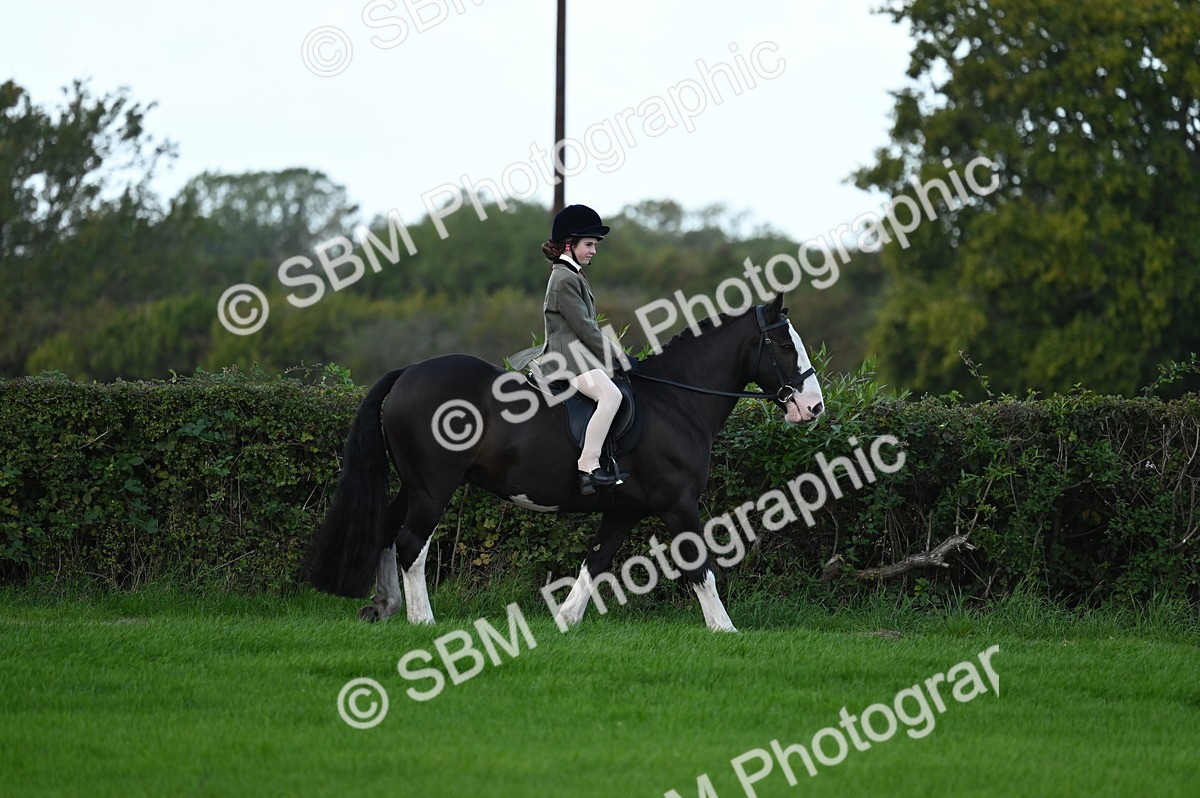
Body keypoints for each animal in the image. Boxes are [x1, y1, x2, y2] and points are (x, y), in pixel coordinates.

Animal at [300, 294, 825, 631]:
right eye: (783, 345)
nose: (813, 407)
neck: (677, 400)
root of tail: (408, 372)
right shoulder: (678, 503)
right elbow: (701, 565)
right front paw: (724, 629)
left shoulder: (624, 510)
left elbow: (596, 562)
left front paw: (564, 621)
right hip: (434, 486)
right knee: (412, 543)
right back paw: (421, 621)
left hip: (413, 484)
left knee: (388, 531)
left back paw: (384, 607)